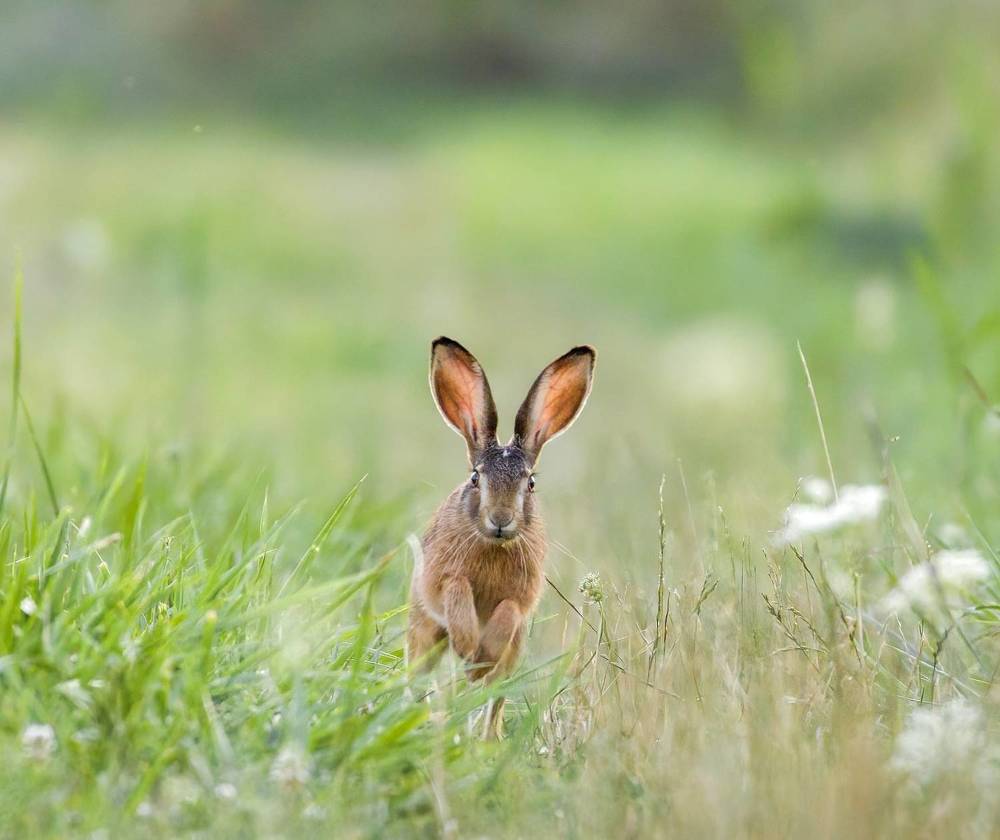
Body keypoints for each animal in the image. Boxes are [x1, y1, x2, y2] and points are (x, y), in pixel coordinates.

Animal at [407, 336, 596, 738]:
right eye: (475, 478)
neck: (493, 544)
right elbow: (456, 587)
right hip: (422, 632)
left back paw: (487, 736)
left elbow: (508, 610)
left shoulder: (521, 599)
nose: (500, 520)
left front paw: (481, 658)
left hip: (514, 656)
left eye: (531, 483)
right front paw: (468, 646)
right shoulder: (439, 580)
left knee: (495, 696)